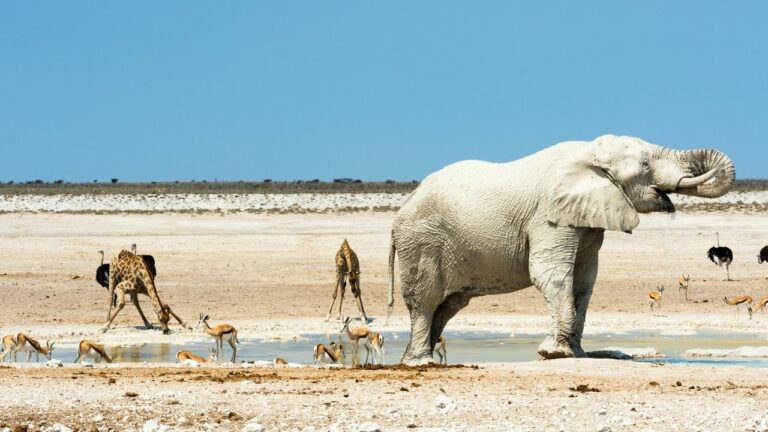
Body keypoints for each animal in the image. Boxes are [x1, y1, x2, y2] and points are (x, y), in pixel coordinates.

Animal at [388, 134, 736, 364]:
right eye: (645, 163)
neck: (589, 154)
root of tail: (400, 213)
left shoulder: (586, 218)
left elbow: (584, 280)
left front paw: (576, 353)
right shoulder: (549, 216)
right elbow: (550, 274)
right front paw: (552, 352)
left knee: (448, 305)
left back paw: (415, 359)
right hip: (422, 242)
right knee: (426, 300)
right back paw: (420, 362)